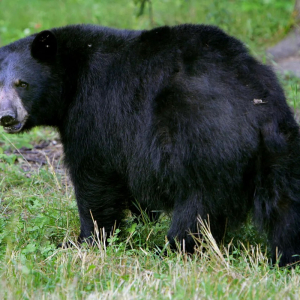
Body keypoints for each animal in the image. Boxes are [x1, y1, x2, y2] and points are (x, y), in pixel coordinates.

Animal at [0, 24, 300, 266]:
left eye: (22, 83)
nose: (7, 116)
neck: (71, 75)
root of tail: (256, 109)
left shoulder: (94, 112)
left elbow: (93, 178)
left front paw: (84, 241)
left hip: (204, 147)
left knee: (197, 211)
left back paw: (169, 250)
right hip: (280, 152)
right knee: (285, 208)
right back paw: (286, 258)